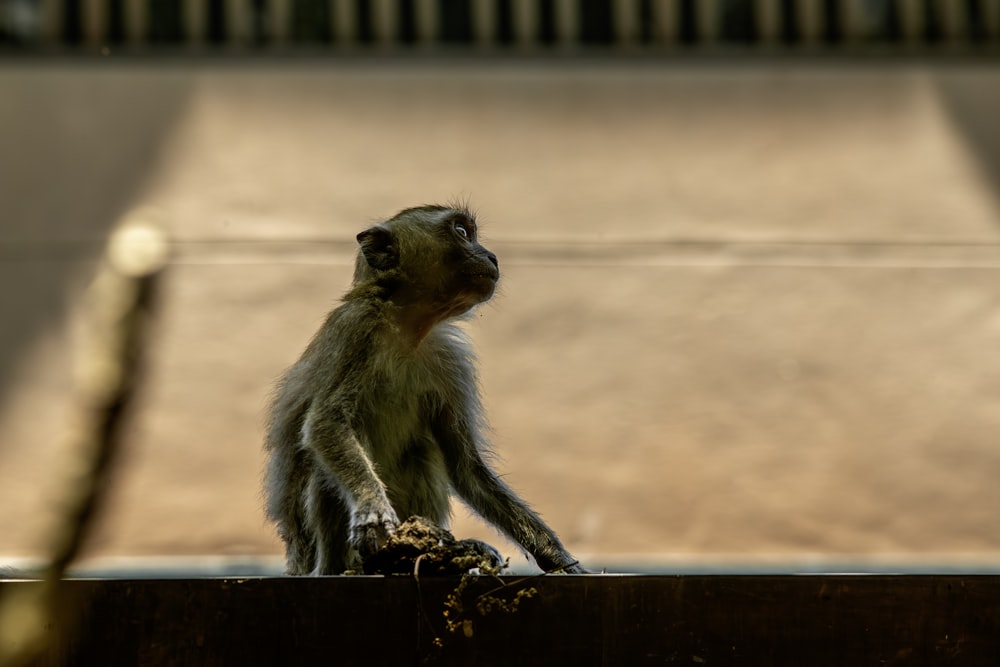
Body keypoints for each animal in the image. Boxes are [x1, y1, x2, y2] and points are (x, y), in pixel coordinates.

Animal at [264, 206, 584, 576]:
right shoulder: (355, 327)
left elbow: (466, 467)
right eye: (461, 232)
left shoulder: (449, 361)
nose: (492, 256)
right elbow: (326, 423)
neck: (408, 328)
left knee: (422, 454)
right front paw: (372, 511)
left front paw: (557, 557)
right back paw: (348, 566)